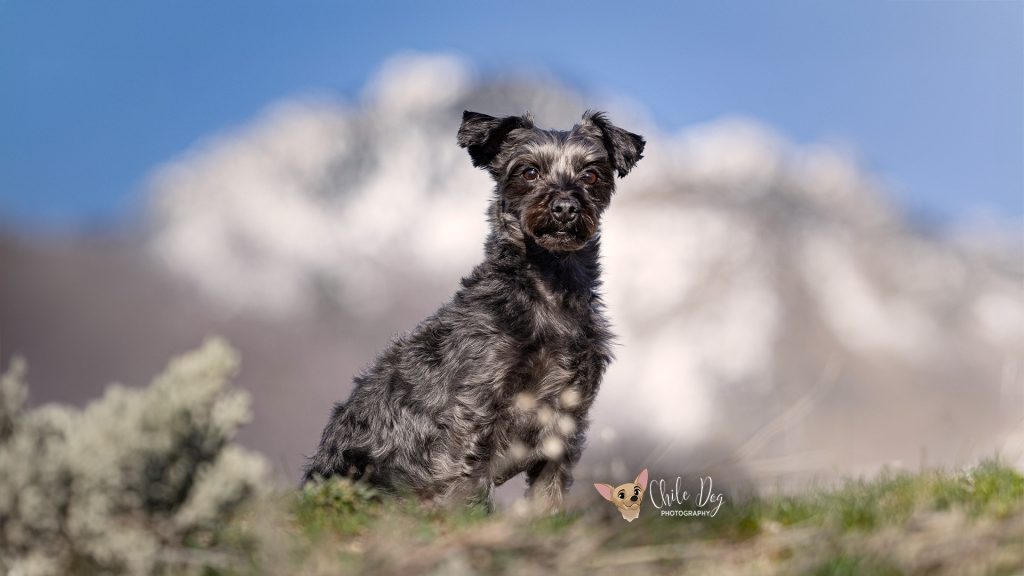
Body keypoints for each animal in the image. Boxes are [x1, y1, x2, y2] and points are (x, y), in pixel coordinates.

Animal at [299, 107, 643, 506]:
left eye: (591, 174)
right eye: (528, 172)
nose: (566, 207)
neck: (550, 291)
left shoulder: (566, 417)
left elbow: (548, 495)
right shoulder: (475, 409)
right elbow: (469, 482)